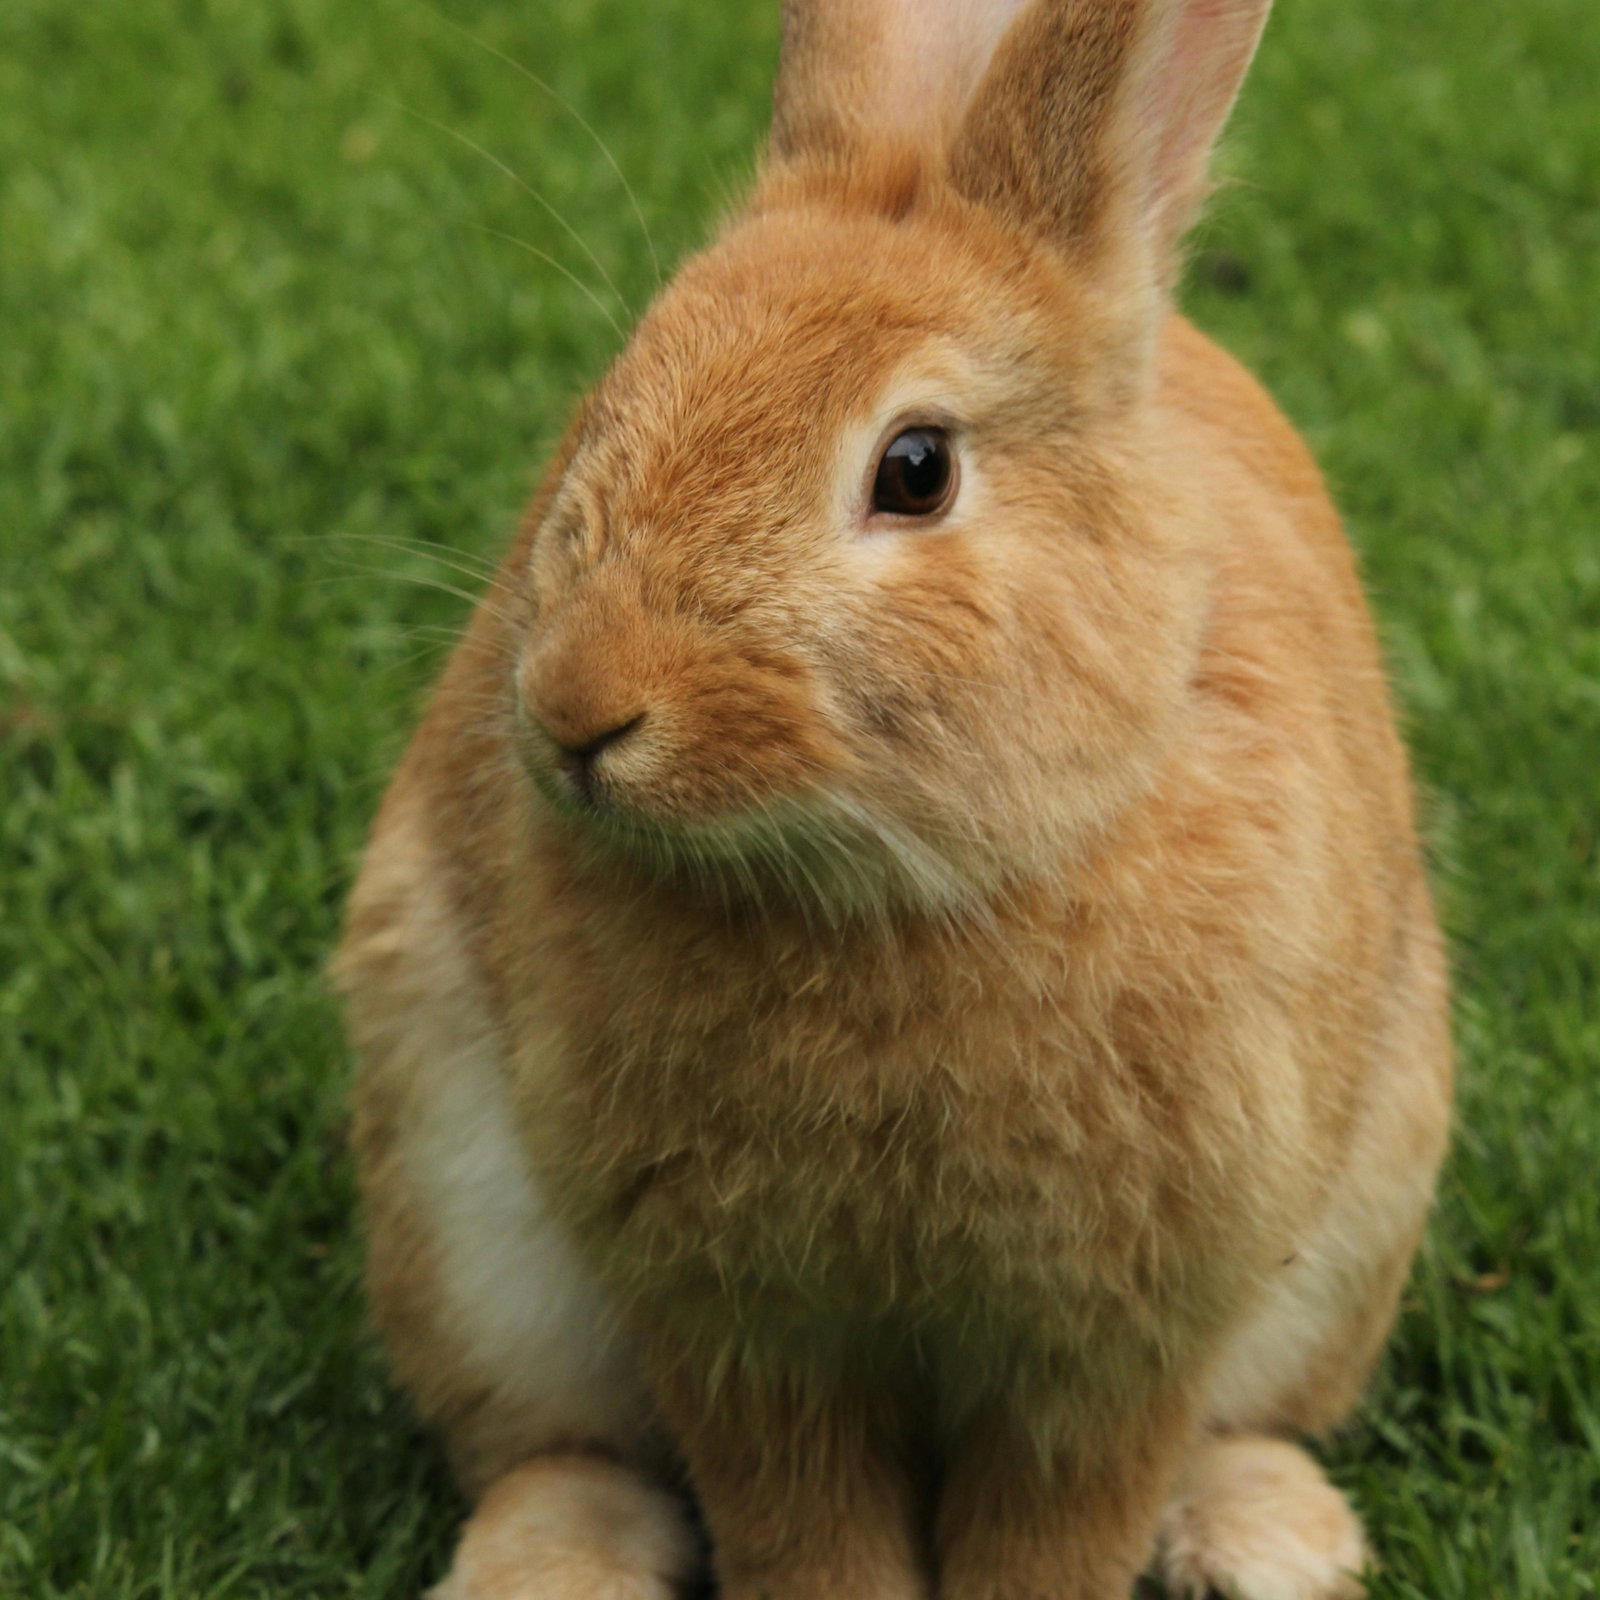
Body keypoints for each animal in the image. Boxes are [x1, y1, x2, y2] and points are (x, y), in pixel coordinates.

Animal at [334, 1, 1454, 1596]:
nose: (579, 711)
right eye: (612, 396)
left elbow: (1057, 1533)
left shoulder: (1114, 1348)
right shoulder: (739, 1333)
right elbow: (803, 1529)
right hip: (466, 1233)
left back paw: (1264, 1542)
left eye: (915, 470)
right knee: (559, 1447)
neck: (897, 897)